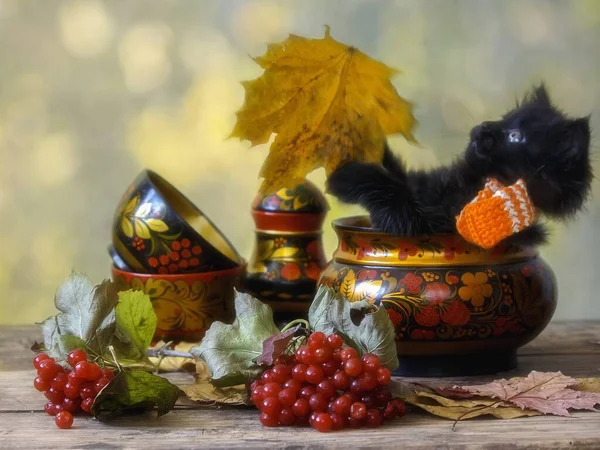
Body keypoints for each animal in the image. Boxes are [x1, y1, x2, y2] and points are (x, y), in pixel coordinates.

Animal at [326, 84, 592, 246]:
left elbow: (392, 193)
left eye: (515, 136)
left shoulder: (425, 223)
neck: (466, 182)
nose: (483, 127)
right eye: (504, 118)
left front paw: (345, 175)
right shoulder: (420, 184)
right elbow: (396, 173)